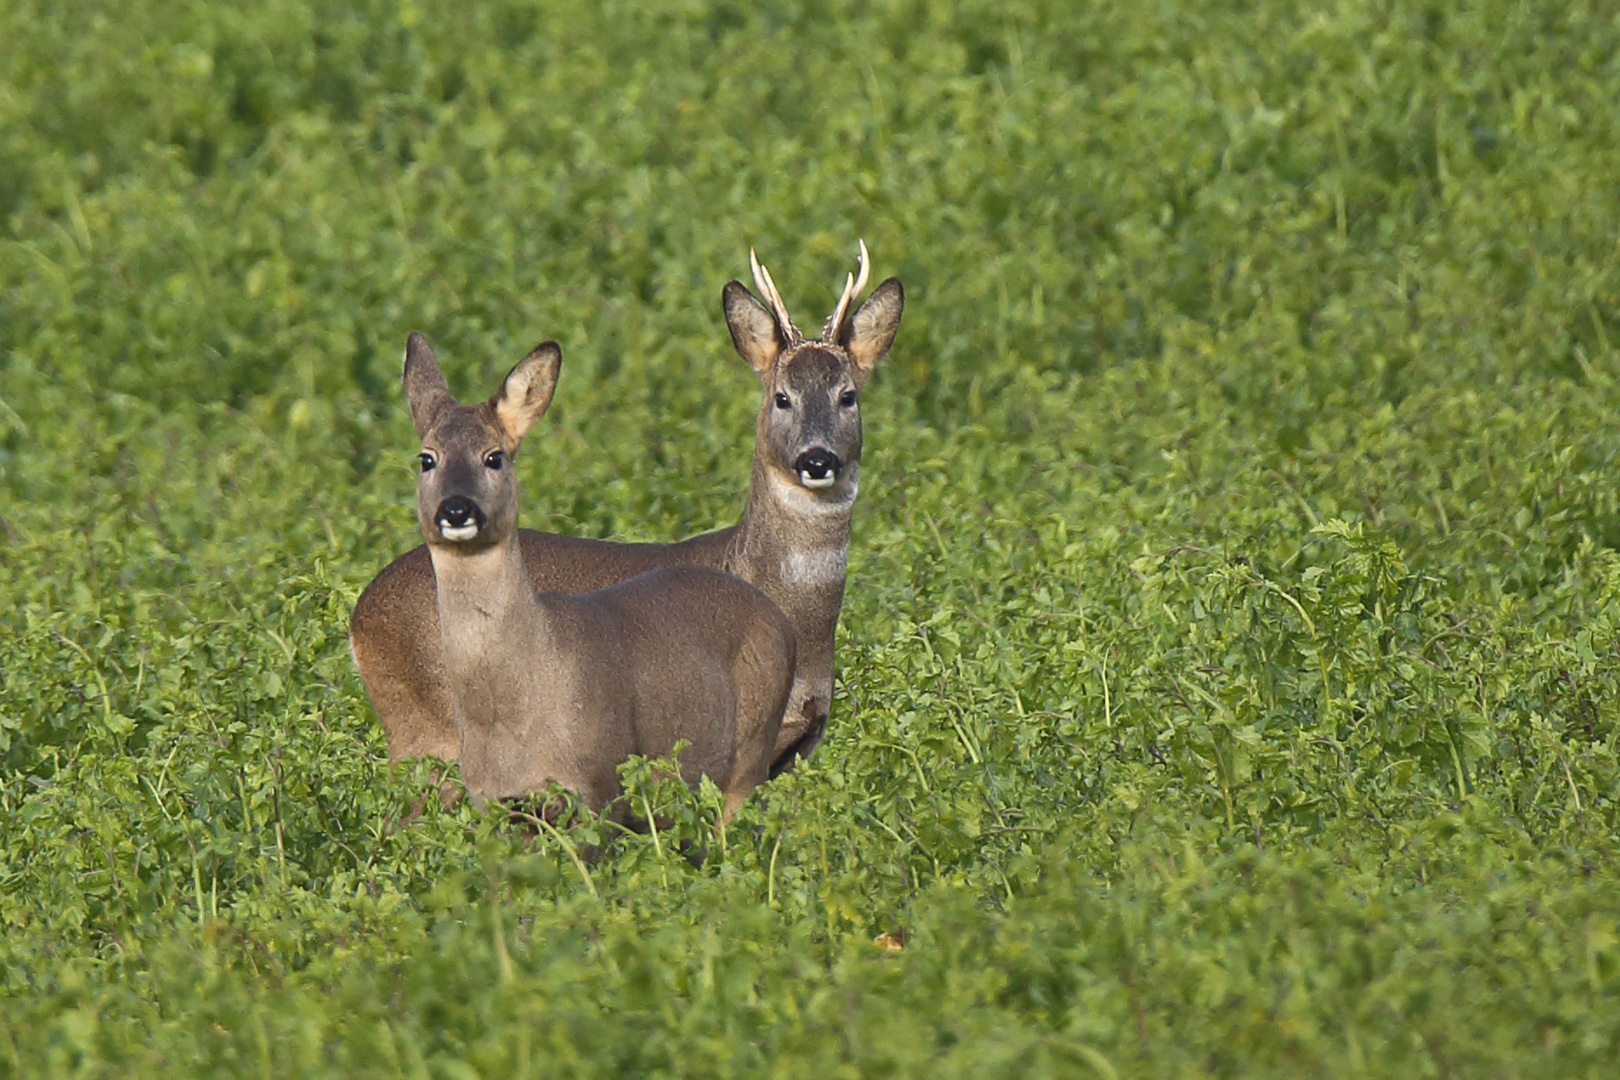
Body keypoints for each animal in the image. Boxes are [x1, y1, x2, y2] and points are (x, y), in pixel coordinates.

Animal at [349, 244, 907, 773]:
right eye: (782, 397)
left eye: (848, 396)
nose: (817, 459)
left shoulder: (799, 746)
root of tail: (359, 613)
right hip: (428, 727)